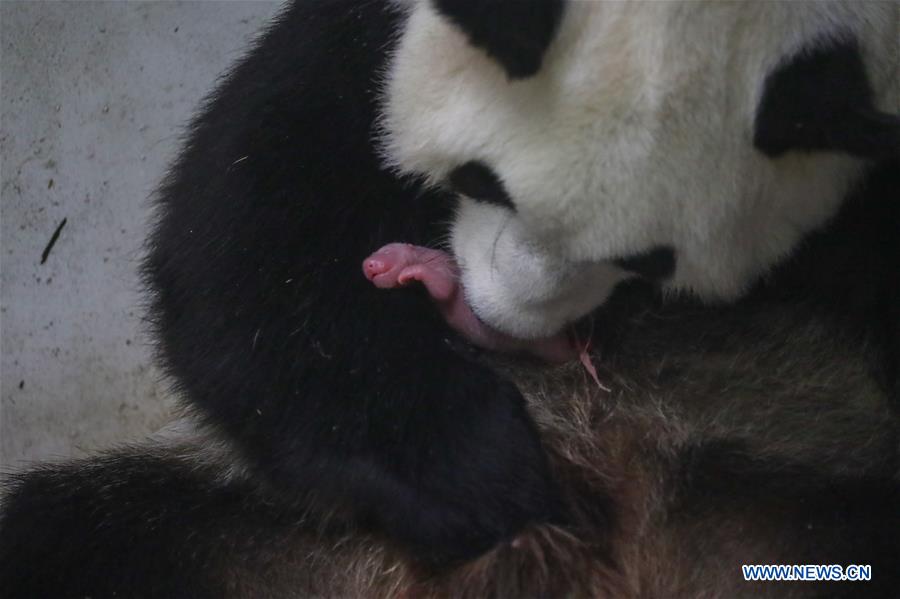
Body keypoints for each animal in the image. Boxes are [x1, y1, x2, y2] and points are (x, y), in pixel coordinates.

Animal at [1, 0, 898, 596]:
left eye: (647, 261)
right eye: (478, 179)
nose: (495, 318)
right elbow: (248, 233)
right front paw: (485, 469)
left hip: (787, 466)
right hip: (257, 540)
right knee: (73, 538)